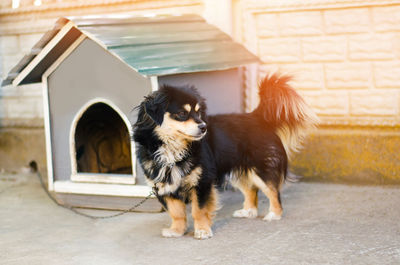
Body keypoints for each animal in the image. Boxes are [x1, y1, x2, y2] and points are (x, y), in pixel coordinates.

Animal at [133, 73, 318, 239]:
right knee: (251, 190)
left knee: (273, 191)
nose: (203, 127)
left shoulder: (202, 182)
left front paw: (202, 231)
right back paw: (248, 211)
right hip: (239, 172)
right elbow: (176, 213)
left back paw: (274, 214)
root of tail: (257, 116)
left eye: (198, 113)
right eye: (181, 114)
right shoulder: (165, 186)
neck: (172, 148)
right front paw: (177, 231)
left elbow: (198, 210)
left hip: (260, 170)